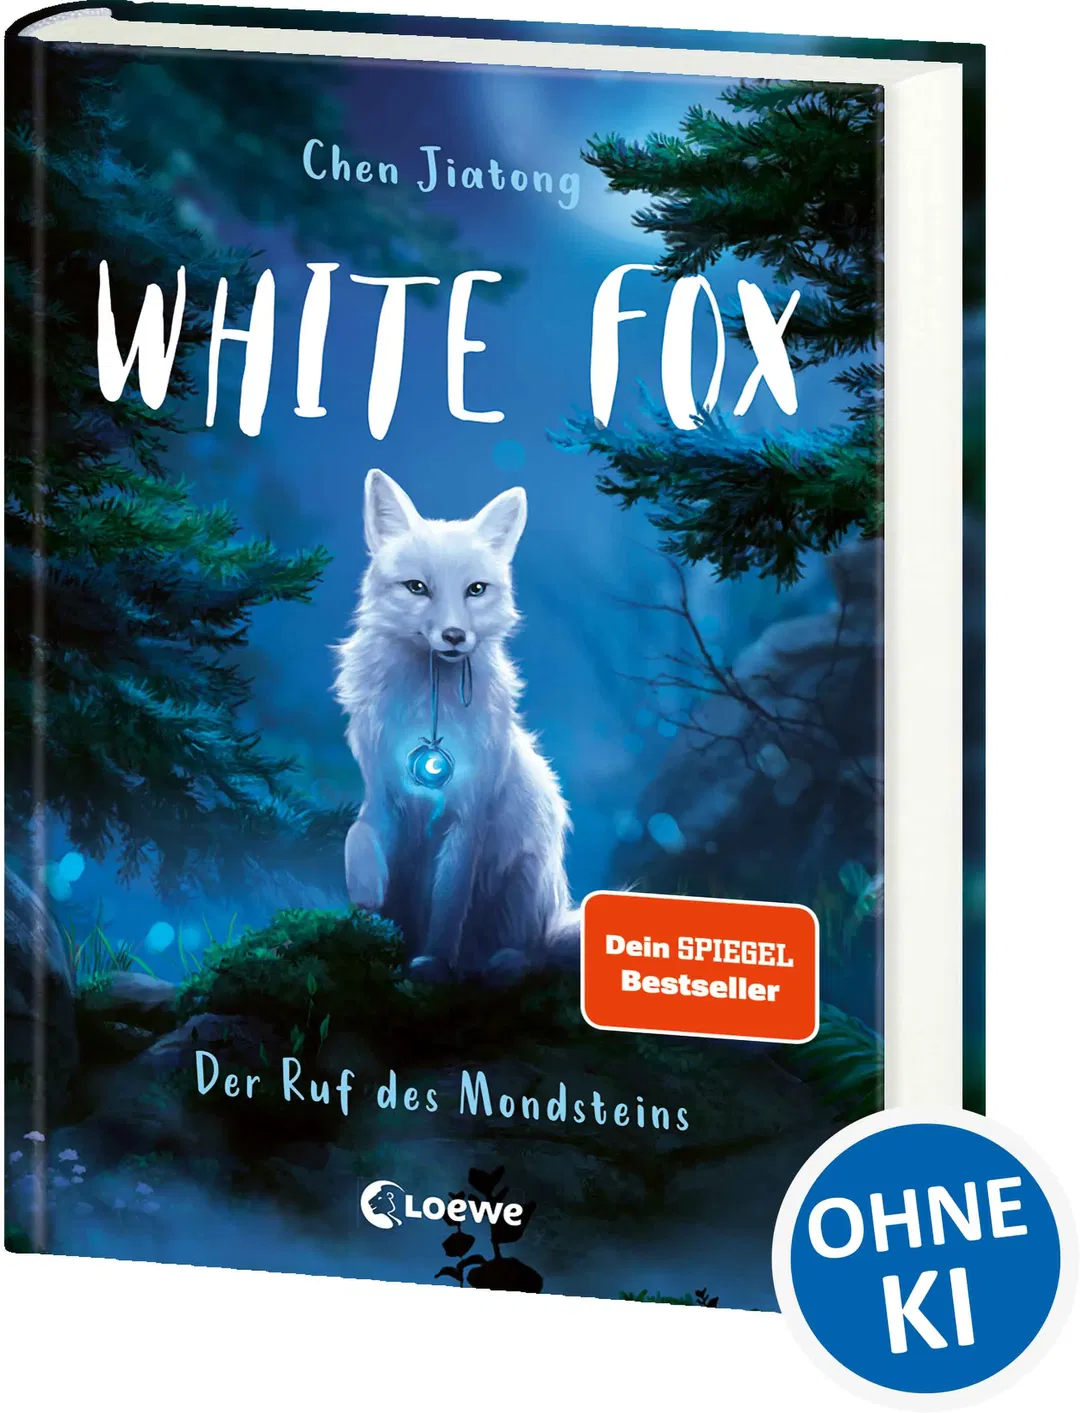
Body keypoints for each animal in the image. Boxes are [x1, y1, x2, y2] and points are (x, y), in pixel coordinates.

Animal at [333, 468, 579, 981]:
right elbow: (356, 838)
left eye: (476, 590)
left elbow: (447, 904)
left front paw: (432, 964)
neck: (428, 709)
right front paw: (368, 900)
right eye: (417, 587)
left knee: (533, 951)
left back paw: (500, 964)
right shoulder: (382, 796)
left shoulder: (467, 818)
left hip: (527, 879)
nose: (453, 636)